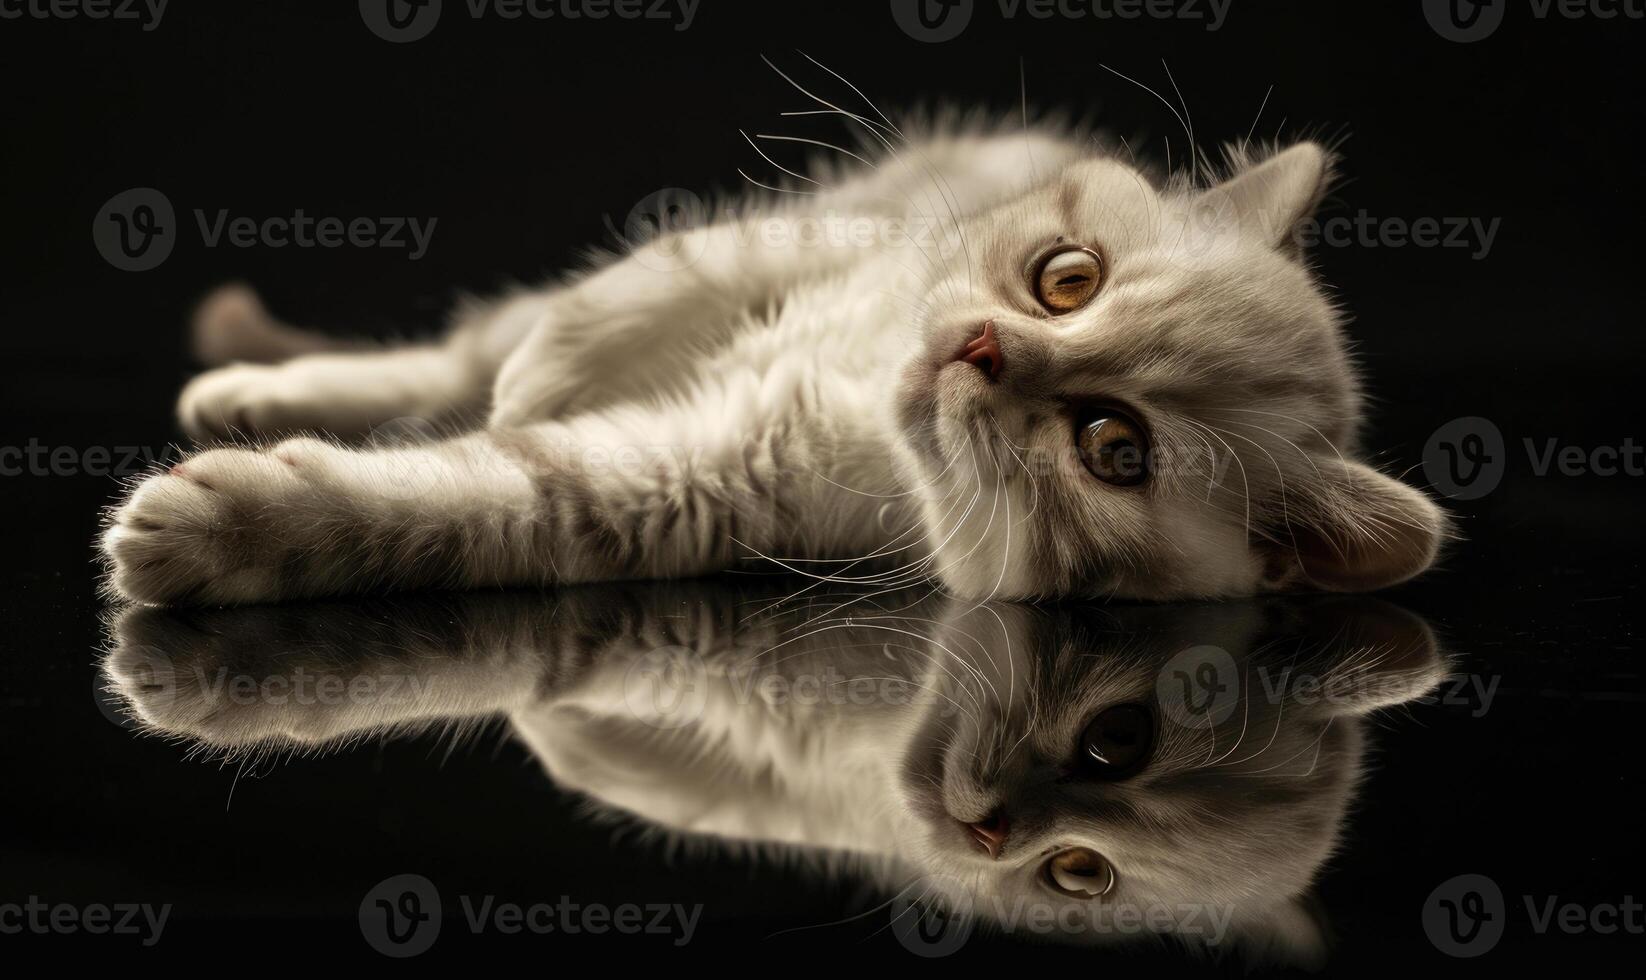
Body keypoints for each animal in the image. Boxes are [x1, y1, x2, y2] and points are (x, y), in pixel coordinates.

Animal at [102, 107, 1448, 606]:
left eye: (1112, 446)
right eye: (1067, 278)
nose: (978, 346)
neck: (853, 393)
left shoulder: (692, 477)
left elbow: (479, 490)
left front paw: (216, 530)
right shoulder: (818, 236)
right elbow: (645, 288)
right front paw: (557, 367)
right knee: (454, 354)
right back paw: (247, 390)